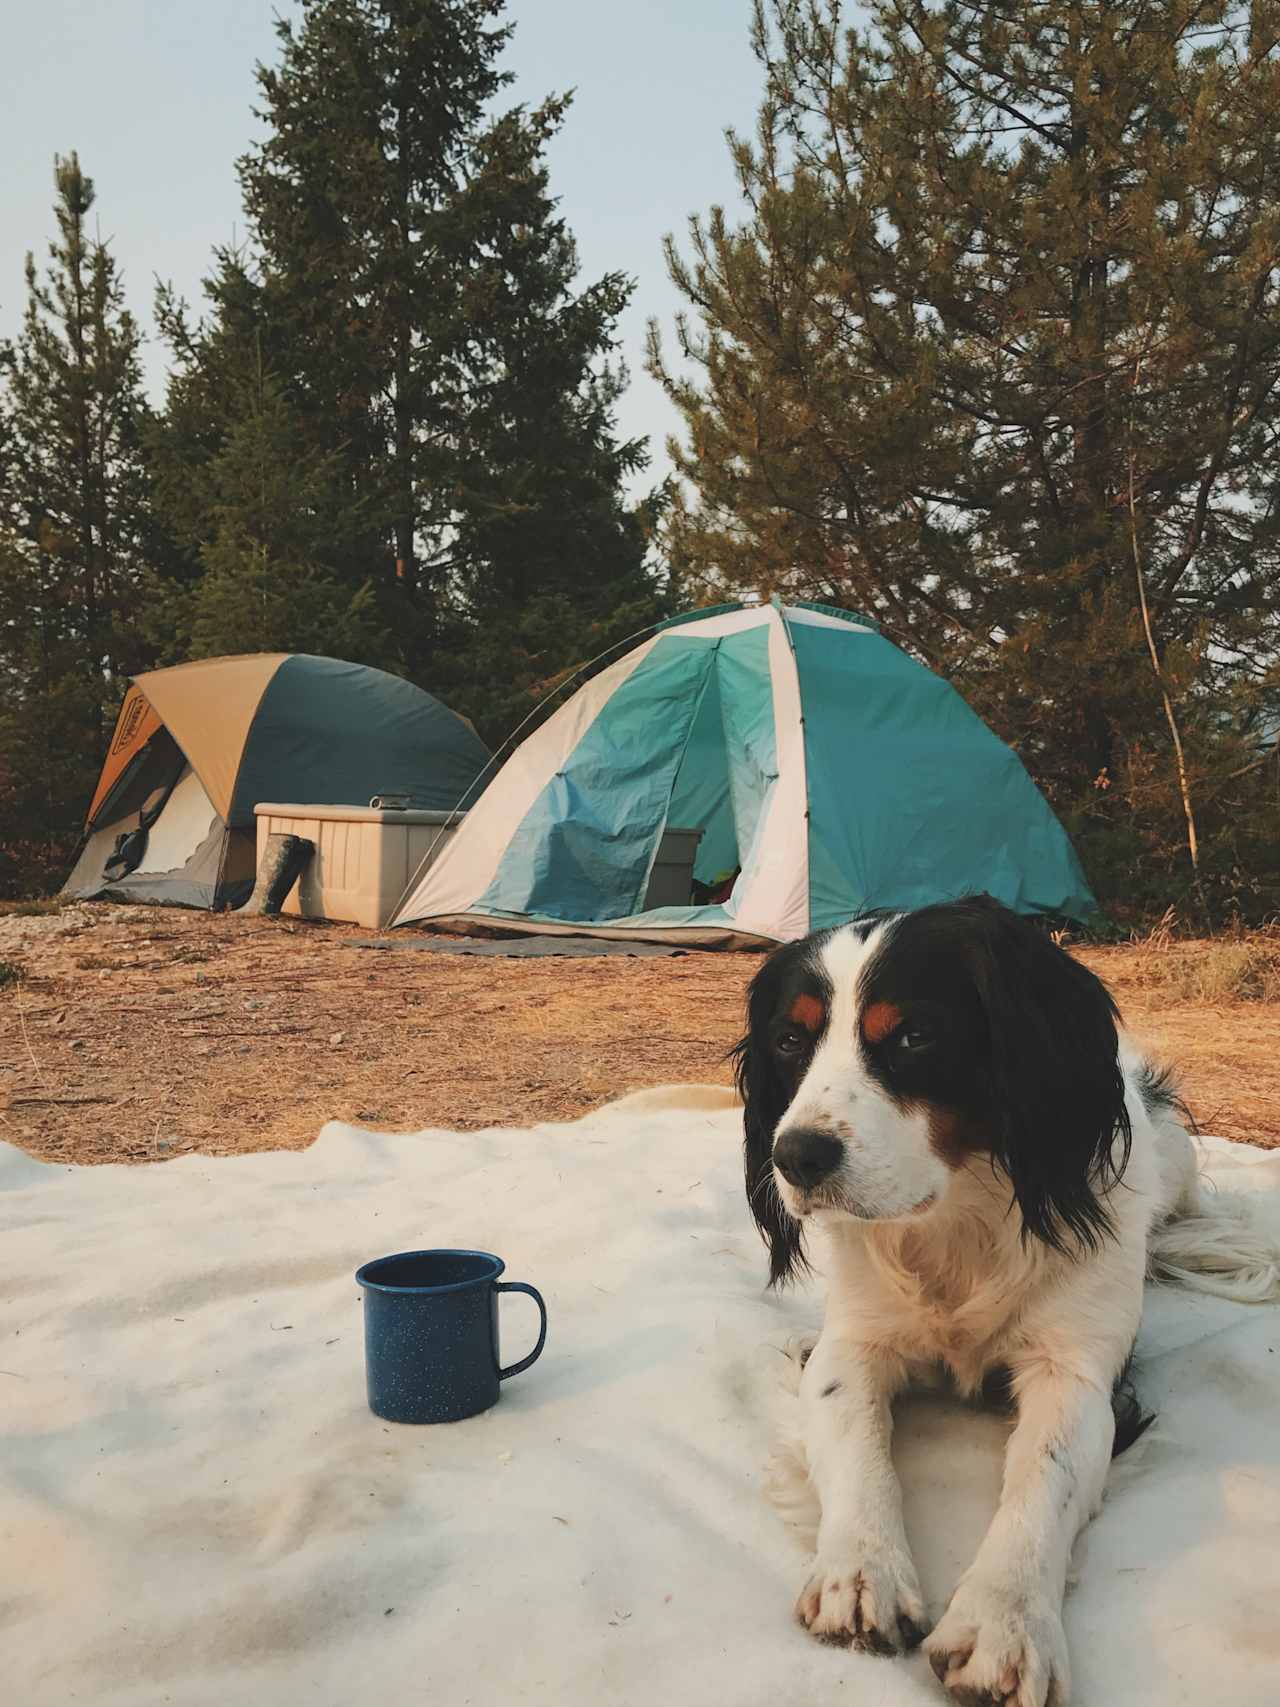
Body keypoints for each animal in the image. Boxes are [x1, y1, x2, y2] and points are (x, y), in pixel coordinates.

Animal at [737, 901, 1276, 1700]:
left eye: (915, 1035)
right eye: (789, 1040)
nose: (795, 1157)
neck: (959, 1223)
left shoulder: (1074, 1374)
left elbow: (1043, 1480)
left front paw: (1004, 1623)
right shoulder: (856, 1343)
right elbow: (856, 1441)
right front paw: (859, 1570)